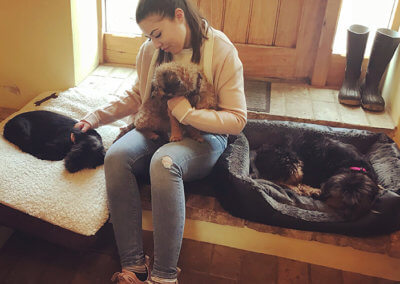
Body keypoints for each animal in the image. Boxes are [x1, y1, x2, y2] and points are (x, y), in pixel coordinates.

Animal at [253, 134, 382, 221]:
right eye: (342, 199)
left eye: (356, 203)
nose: (347, 215)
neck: (354, 167)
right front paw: (314, 191)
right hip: (291, 161)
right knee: (281, 180)